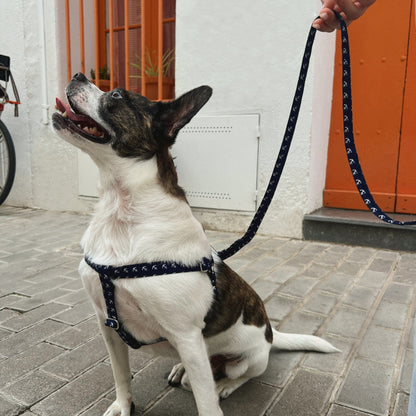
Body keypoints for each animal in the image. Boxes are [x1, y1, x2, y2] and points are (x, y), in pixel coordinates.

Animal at [52, 72, 338, 416]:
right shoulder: (107, 325)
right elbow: (121, 374)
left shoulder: (186, 336)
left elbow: (206, 403)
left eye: (118, 96)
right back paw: (180, 369)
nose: (78, 74)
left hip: (245, 360)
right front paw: (123, 405)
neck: (122, 210)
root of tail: (270, 332)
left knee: (234, 375)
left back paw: (224, 384)